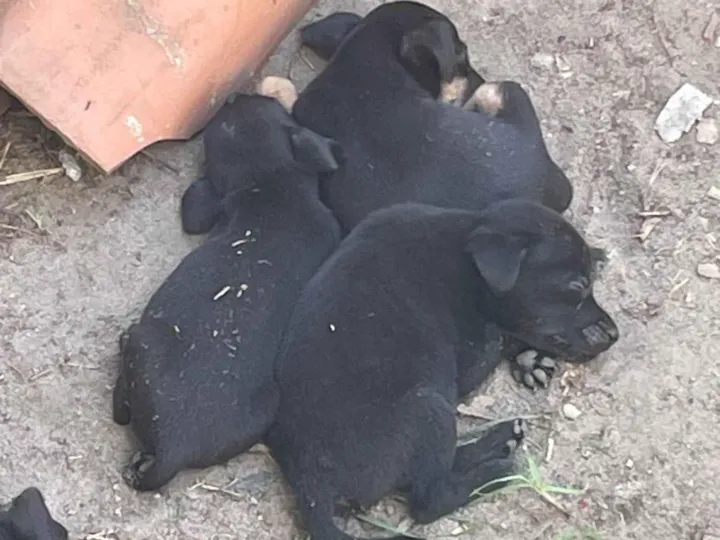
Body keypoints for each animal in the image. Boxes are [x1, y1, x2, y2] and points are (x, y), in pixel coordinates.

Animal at [113, 94, 343, 491]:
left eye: (223, 125)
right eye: (275, 109)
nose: (237, 95)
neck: (273, 179)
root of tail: (173, 448)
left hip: (142, 344)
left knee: (120, 408)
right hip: (266, 408)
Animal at [266, 200, 618, 540]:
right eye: (577, 286)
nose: (615, 334)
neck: (466, 252)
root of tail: (312, 488)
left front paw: (530, 361)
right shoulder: (476, 353)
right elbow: (504, 334)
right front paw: (526, 355)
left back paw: (501, 440)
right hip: (428, 406)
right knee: (429, 498)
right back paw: (495, 473)